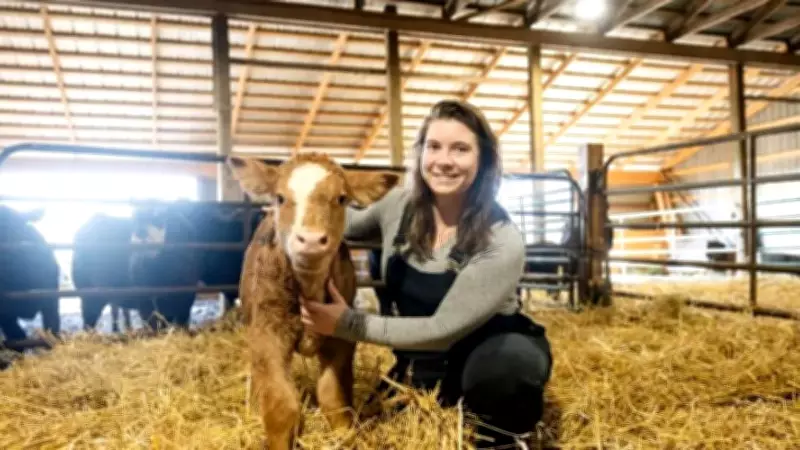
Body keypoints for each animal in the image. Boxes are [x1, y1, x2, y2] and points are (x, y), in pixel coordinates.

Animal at [225, 153, 399, 450]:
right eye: (280, 197)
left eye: (341, 198)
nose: (310, 240)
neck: (308, 289)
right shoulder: (267, 332)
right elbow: (282, 404)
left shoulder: (342, 337)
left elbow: (334, 397)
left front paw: (345, 437)